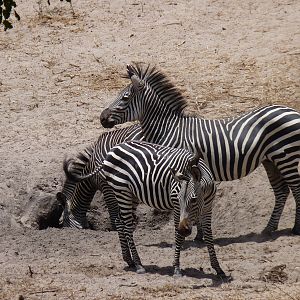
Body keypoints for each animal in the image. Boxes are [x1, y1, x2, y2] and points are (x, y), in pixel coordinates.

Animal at [65, 139, 225, 278]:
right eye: (179, 199)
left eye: (193, 199)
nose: (184, 229)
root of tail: (112, 150)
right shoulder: (176, 206)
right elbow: (178, 236)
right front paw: (177, 268)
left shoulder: (207, 208)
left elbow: (209, 236)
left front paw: (218, 269)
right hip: (121, 190)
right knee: (126, 225)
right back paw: (138, 264)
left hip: (130, 195)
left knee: (119, 221)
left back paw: (128, 259)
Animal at [100, 64, 300, 236]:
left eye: (125, 97)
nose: (102, 118)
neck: (170, 128)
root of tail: (291, 110)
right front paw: (200, 235)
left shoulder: (182, 166)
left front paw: (197, 234)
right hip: (270, 160)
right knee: (281, 191)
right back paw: (269, 229)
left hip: (286, 157)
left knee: (296, 188)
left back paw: (295, 229)